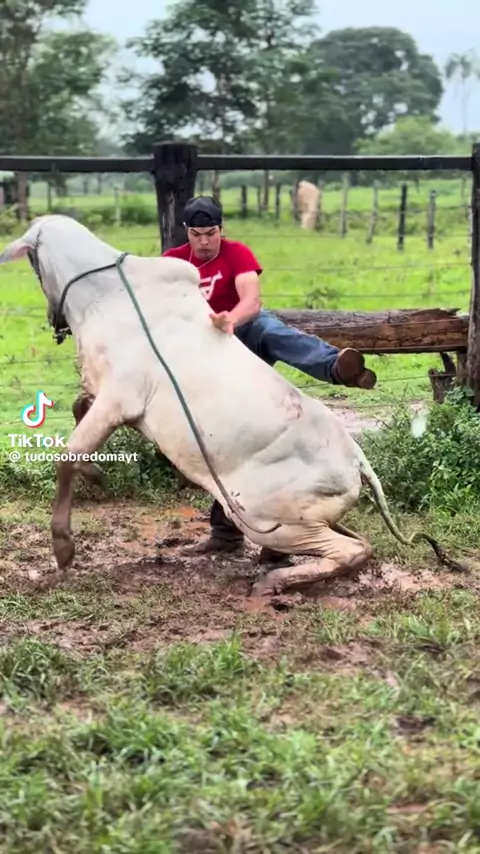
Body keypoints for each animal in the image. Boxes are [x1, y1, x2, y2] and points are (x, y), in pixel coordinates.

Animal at [0, 215, 468, 597]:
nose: (53, 320)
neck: (105, 295)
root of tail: (358, 462)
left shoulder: (119, 398)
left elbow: (68, 455)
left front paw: (63, 549)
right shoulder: (106, 398)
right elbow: (78, 415)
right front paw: (97, 475)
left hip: (265, 517)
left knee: (355, 549)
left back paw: (275, 580)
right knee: (352, 542)